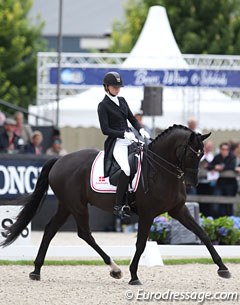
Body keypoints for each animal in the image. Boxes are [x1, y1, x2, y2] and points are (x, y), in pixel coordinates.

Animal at [0, 123, 232, 282]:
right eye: (191, 154)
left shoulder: (178, 209)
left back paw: (36, 270)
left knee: (50, 230)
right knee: (84, 233)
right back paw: (115, 268)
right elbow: (141, 244)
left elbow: (202, 233)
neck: (160, 169)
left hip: (66, 205)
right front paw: (134, 275)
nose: (193, 182)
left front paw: (223, 268)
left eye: (202, 155)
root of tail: (60, 160)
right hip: (77, 205)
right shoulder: (147, 214)